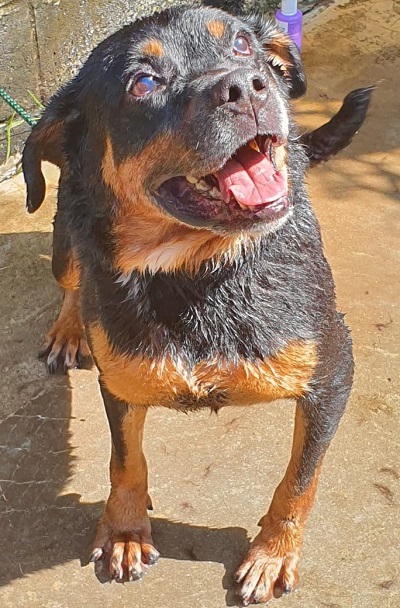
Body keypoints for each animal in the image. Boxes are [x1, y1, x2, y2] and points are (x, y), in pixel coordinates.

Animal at [21, 5, 372, 608]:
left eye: (242, 45)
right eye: (143, 82)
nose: (247, 87)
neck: (196, 273)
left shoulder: (332, 373)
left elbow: (299, 479)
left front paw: (273, 553)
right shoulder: (120, 380)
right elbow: (125, 460)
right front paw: (125, 531)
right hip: (65, 234)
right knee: (71, 281)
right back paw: (69, 329)